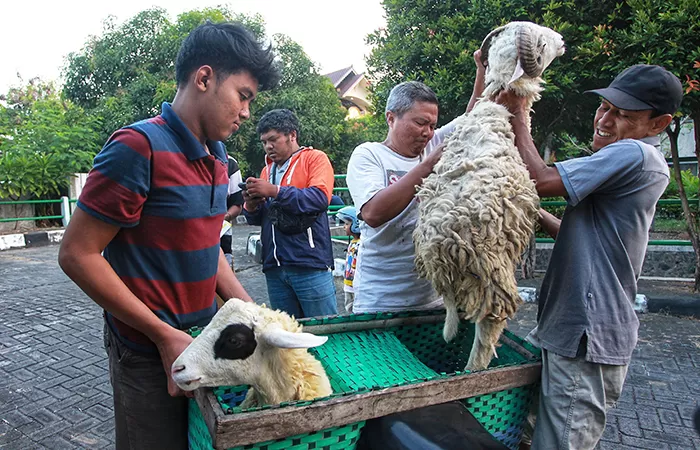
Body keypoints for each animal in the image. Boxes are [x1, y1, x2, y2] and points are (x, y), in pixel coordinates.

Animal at [416, 22, 564, 370]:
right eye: (541, 44)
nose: (563, 41)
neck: (495, 107)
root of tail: (444, 244)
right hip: (493, 271)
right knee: (489, 325)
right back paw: (474, 368)